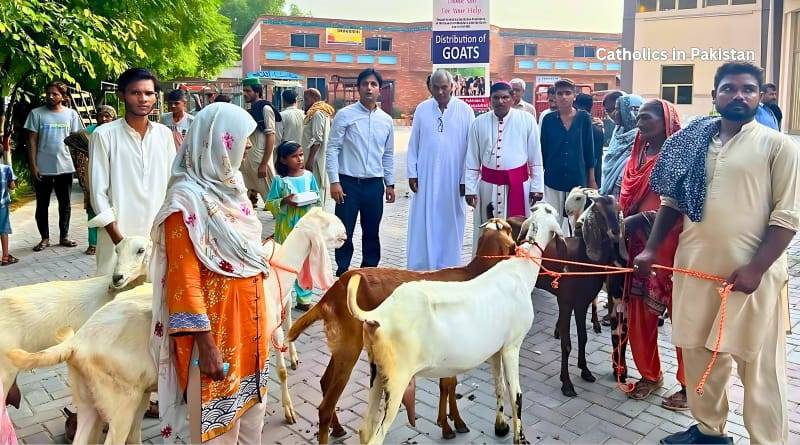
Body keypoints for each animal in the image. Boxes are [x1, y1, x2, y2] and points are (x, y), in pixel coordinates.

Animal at [288, 218, 520, 440]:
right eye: (509, 230)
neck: (472, 275)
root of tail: (332, 293)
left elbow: (450, 383)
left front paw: (453, 421)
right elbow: (447, 384)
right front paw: (449, 425)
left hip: (341, 346)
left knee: (325, 382)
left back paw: (337, 428)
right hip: (349, 347)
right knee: (325, 406)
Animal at [346, 203, 564, 442]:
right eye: (550, 211)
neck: (520, 272)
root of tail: (378, 316)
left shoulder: (496, 349)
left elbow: (499, 386)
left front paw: (500, 426)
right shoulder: (512, 346)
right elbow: (516, 395)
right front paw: (519, 438)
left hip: (378, 373)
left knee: (364, 429)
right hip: (397, 380)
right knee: (376, 436)